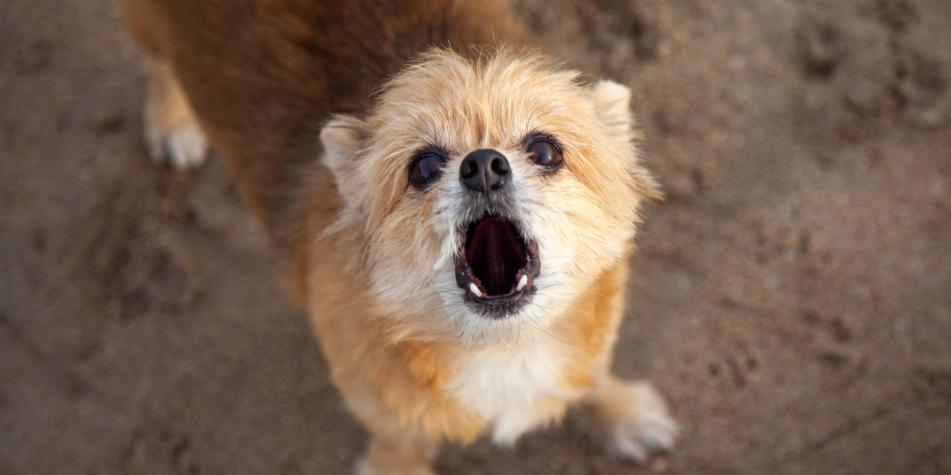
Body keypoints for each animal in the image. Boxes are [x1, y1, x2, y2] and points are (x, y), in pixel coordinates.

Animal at [121, 1, 676, 474]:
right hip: (147, 25)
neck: (502, 348)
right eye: (423, 167)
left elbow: (594, 375)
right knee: (154, 64)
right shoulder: (383, 410)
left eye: (545, 151)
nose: (484, 165)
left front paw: (623, 413)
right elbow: (400, 444)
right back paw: (170, 121)